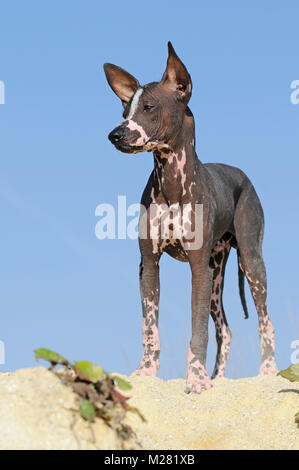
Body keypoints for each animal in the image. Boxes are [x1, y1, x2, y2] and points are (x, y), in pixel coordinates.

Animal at [104, 42, 280, 392]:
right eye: (124, 112)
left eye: (148, 107)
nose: (114, 134)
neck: (172, 182)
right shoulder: (149, 265)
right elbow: (149, 327)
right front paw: (146, 372)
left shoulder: (198, 268)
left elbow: (197, 330)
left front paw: (196, 379)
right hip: (216, 274)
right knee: (225, 330)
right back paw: (219, 379)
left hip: (250, 263)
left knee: (265, 321)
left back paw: (268, 370)